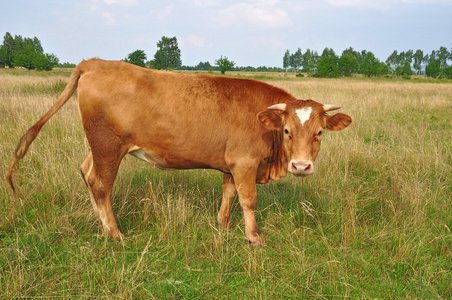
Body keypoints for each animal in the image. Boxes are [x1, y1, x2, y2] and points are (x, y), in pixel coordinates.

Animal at [7, 58, 354, 246]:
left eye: (319, 133)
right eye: (287, 131)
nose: (301, 166)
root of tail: (96, 62)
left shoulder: (230, 164)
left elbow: (228, 193)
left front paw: (222, 226)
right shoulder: (244, 163)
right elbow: (248, 200)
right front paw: (254, 238)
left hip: (101, 146)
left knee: (86, 172)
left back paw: (102, 226)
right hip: (108, 146)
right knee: (101, 184)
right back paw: (115, 234)